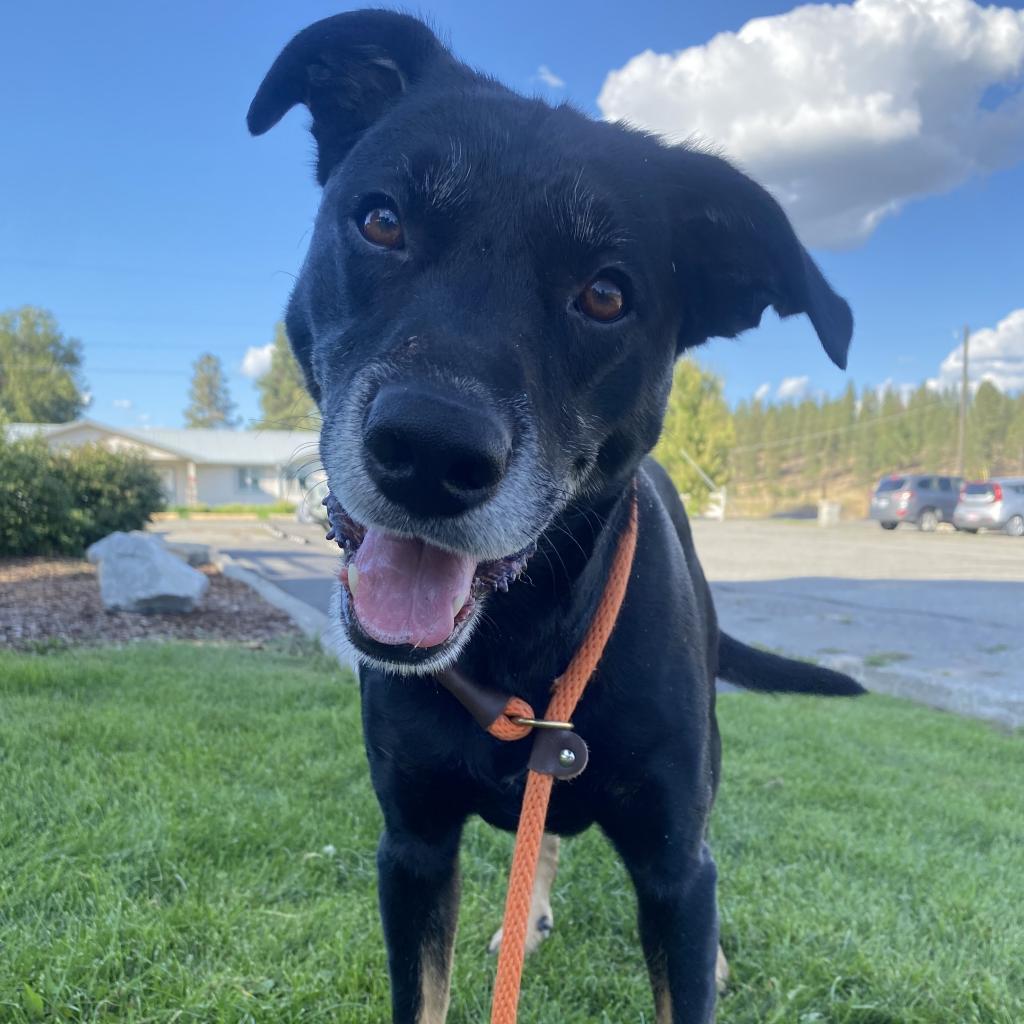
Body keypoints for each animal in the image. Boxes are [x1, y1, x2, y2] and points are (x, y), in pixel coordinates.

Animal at [247, 12, 864, 1019]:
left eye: (606, 295)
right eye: (382, 220)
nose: (431, 450)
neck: (524, 641)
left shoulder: (672, 869)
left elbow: (687, 917)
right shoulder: (412, 848)